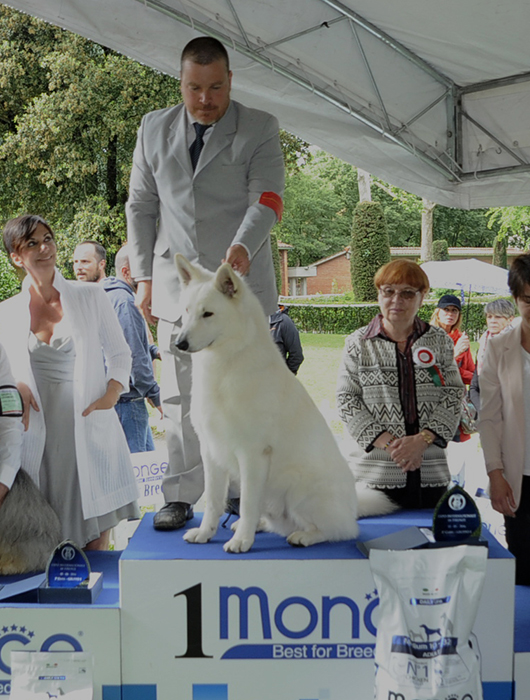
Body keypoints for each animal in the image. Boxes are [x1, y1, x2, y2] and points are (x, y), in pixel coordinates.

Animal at [174, 254, 396, 556]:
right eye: (186, 311)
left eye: (207, 314)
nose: (179, 343)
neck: (226, 368)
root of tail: (352, 507)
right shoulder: (210, 450)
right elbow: (212, 502)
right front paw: (206, 533)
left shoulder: (253, 455)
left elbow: (247, 504)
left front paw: (242, 542)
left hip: (298, 491)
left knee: (341, 531)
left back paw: (303, 535)